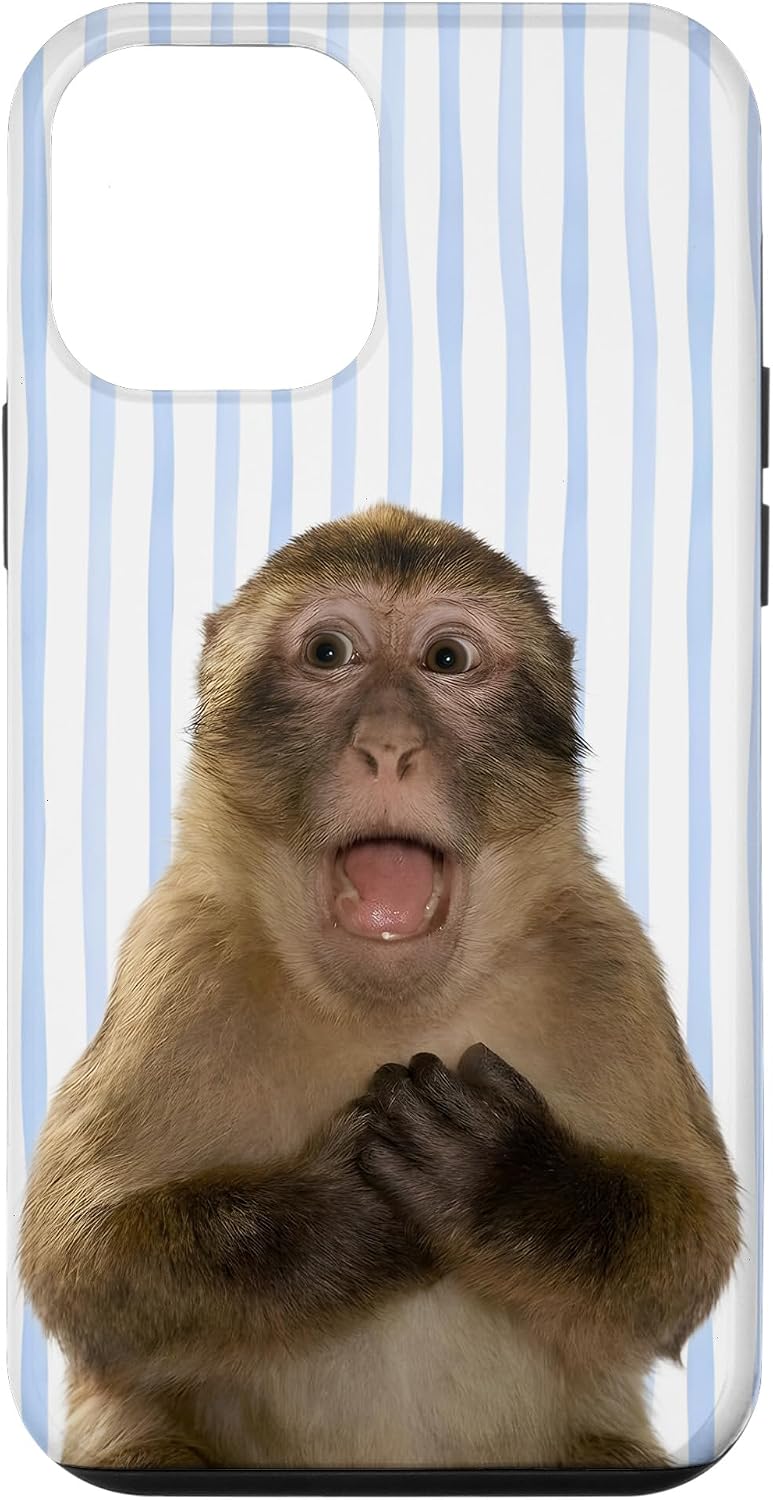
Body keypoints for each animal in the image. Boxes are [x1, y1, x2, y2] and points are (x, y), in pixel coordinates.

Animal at [20, 503, 740, 1472]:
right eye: (329, 653)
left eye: (447, 659)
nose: (389, 745)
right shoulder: (175, 957)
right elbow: (79, 1265)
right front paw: (341, 1215)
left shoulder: (605, 955)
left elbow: (691, 1245)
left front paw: (501, 1181)